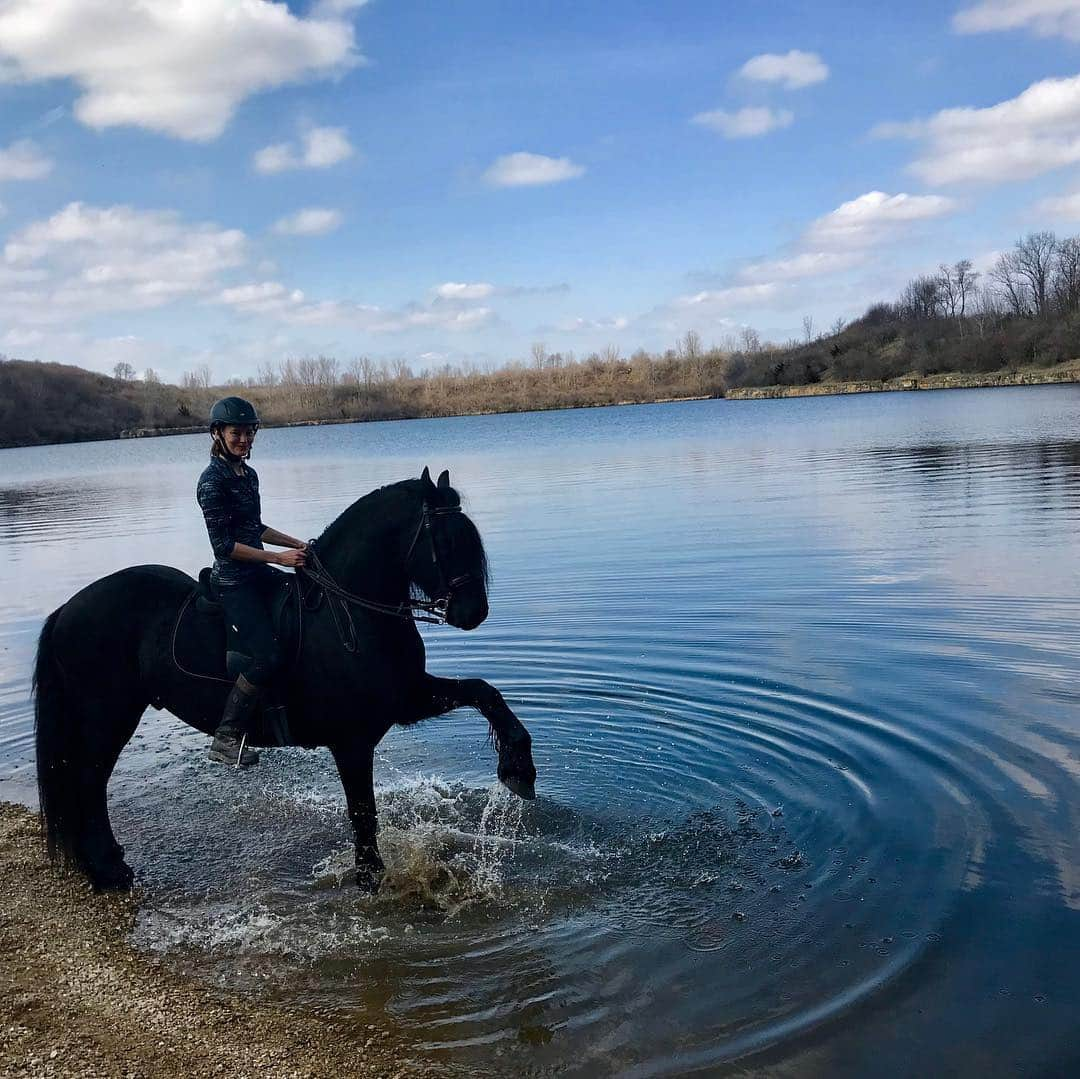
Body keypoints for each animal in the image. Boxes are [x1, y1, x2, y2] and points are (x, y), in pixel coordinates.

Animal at [31, 470, 537, 894]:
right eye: (446, 539)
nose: (473, 612)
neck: (348, 615)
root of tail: (67, 609)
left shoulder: (407, 699)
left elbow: (483, 691)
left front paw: (518, 768)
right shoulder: (353, 740)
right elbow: (363, 815)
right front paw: (371, 882)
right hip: (107, 715)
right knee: (89, 781)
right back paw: (107, 871)